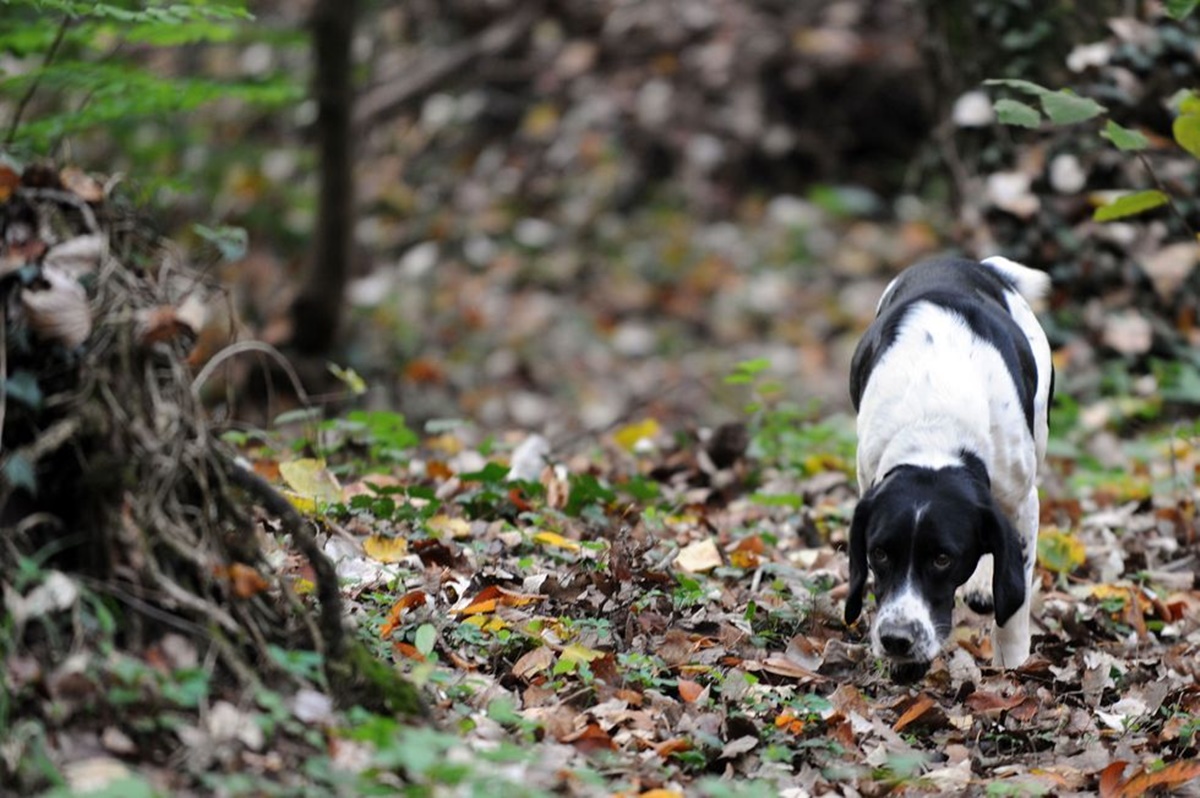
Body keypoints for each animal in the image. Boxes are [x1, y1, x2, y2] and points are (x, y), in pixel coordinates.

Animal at [844, 255, 1051, 676]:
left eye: (943, 559)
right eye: (879, 553)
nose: (896, 640)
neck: (935, 427)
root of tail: (981, 266)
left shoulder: (1023, 503)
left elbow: (1015, 594)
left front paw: (1013, 664)